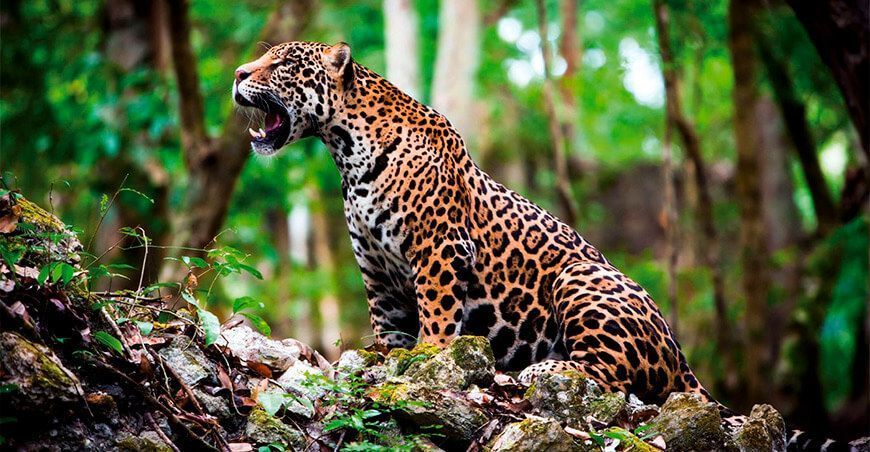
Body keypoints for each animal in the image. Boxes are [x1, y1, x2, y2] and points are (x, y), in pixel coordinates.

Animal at [232, 41, 851, 451]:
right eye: (260, 60)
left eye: (281, 64)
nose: (239, 73)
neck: (345, 149)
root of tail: (681, 355)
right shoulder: (377, 273)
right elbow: (389, 329)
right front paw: (387, 360)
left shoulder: (438, 250)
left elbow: (437, 319)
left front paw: (428, 361)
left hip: (583, 280)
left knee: (613, 381)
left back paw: (539, 371)